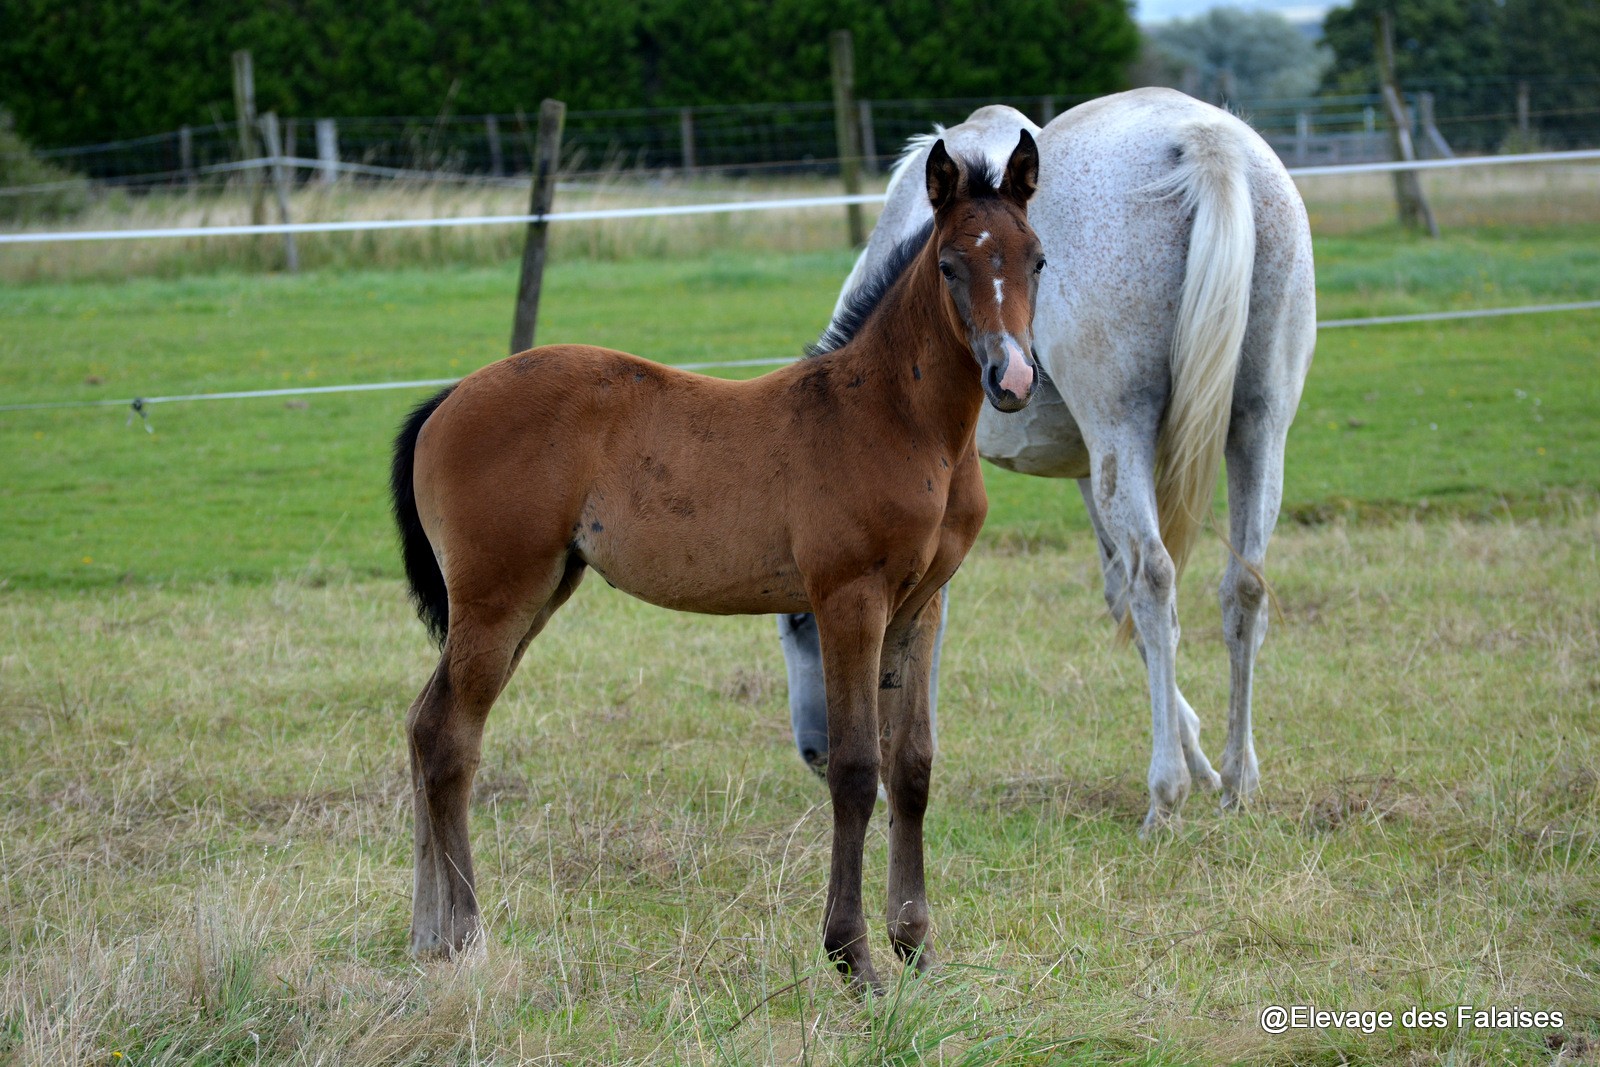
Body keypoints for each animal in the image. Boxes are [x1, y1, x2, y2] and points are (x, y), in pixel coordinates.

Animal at [392, 135, 1049, 991]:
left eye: (1037, 258)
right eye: (949, 264)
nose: (1013, 378)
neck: (896, 419)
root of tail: (446, 400)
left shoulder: (921, 603)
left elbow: (912, 768)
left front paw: (917, 947)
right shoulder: (849, 598)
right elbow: (856, 769)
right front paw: (854, 959)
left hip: (536, 594)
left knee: (423, 723)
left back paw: (427, 935)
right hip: (498, 596)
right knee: (449, 738)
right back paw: (466, 934)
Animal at [780, 87, 1318, 831]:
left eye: (801, 622)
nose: (815, 752)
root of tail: (1207, 140)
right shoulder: (1090, 472)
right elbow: (1119, 596)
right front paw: (1204, 760)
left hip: (1125, 428)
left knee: (1157, 579)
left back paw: (1164, 795)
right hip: (1258, 427)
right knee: (1243, 586)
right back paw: (1237, 781)